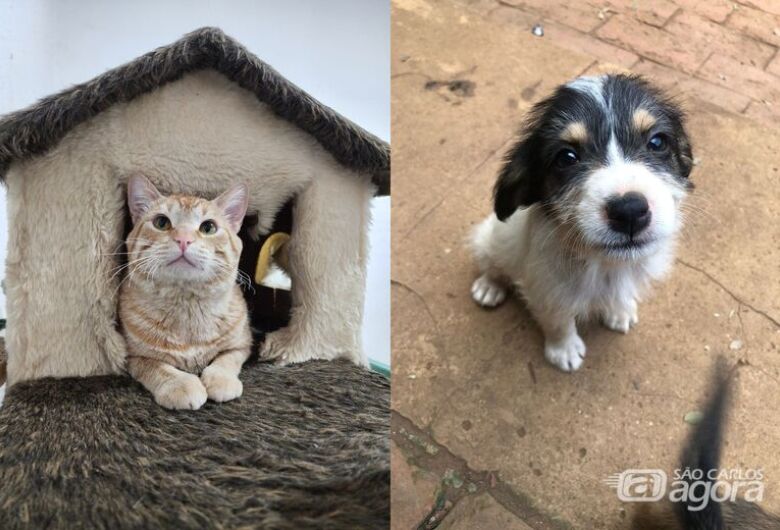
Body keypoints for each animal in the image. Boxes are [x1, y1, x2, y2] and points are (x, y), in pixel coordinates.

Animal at [118, 173, 250, 408]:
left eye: (208, 227)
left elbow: (226, 359)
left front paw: (221, 380)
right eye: (161, 222)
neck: (187, 305)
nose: (183, 239)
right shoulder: (133, 357)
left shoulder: (243, 344)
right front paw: (180, 384)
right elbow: (158, 367)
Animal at [470, 74, 696, 370]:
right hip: (491, 238)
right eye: (566, 158)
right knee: (493, 264)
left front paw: (619, 311)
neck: (606, 266)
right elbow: (558, 321)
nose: (629, 211)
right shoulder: (547, 290)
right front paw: (564, 351)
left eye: (657, 142)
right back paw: (489, 287)